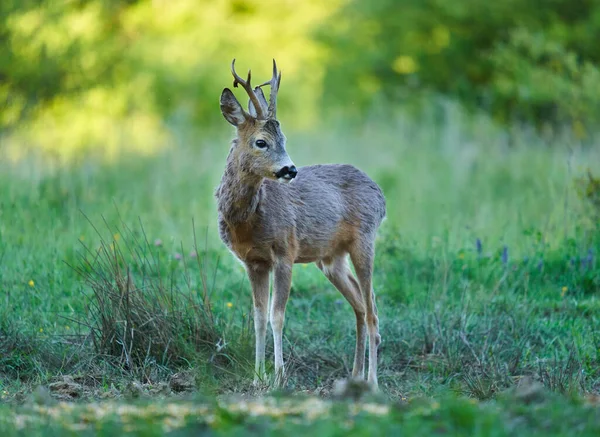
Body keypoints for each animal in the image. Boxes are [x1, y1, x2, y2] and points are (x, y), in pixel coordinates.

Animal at [214, 59, 384, 386]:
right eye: (261, 142)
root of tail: (380, 193)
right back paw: (354, 376)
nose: (290, 170)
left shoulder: (284, 252)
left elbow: (277, 315)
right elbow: (258, 316)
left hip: (364, 240)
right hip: (330, 259)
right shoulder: (253, 262)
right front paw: (258, 377)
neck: (248, 222)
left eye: (284, 140)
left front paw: (278, 376)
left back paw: (372, 382)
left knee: (371, 310)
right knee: (359, 304)